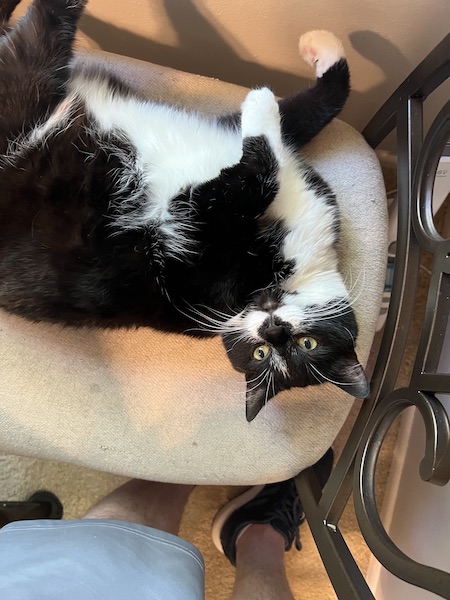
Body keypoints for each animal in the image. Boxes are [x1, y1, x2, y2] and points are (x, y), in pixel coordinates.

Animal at [0, 0, 370, 422]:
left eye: (304, 346)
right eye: (262, 352)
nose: (271, 328)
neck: (297, 266)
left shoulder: (194, 241)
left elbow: (262, 168)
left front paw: (261, 101)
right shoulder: (235, 141)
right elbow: (308, 112)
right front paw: (320, 50)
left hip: (27, 89)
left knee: (41, 32)